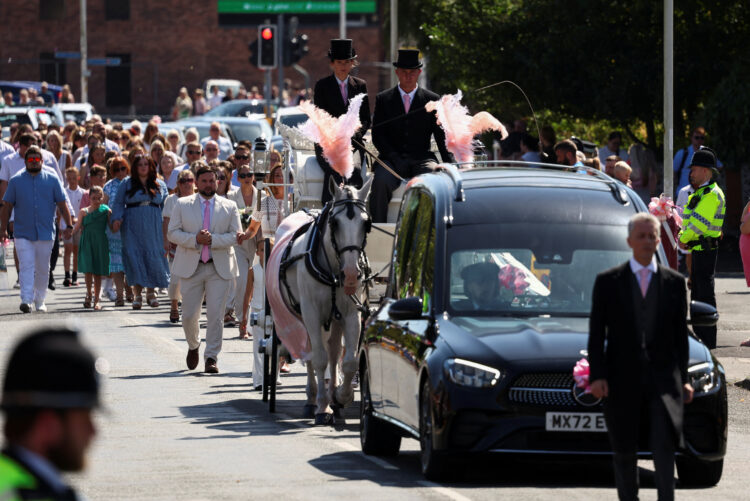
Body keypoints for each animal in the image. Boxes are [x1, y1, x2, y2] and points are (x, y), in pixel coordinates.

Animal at [280, 178, 374, 424]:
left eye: (366, 224)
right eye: (335, 223)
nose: (350, 274)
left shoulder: (351, 314)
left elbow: (348, 360)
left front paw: (342, 397)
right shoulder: (311, 313)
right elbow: (319, 359)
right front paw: (322, 407)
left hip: (334, 318)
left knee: (333, 351)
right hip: (305, 316)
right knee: (312, 354)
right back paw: (313, 399)